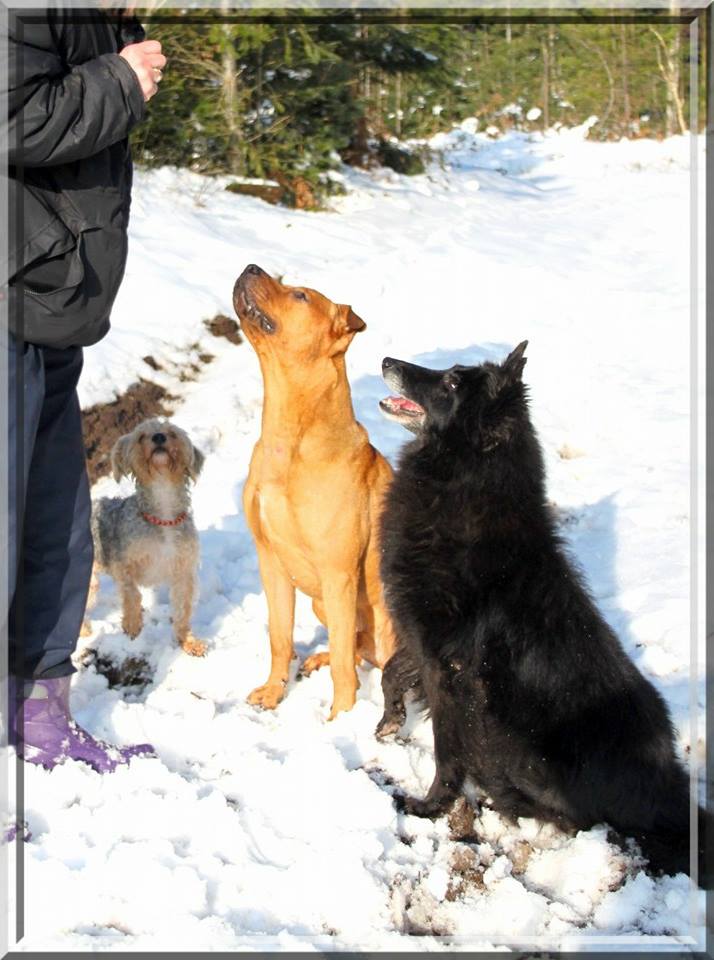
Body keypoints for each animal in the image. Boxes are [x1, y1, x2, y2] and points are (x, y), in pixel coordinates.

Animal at [86, 418, 207, 657]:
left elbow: (183, 609)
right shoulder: (123, 565)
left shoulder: (184, 571)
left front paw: (188, 641)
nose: (159, 437)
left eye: (172, 433)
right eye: (141, 436)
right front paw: (132, 627)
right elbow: (132, 595)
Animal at [233, 264, 396, 719]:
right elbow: (279, 635)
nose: (250, 267)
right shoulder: (270, 561)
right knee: (356, 648)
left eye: (301, 295)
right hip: (321, 602)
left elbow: (343, 665)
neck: (290, 436)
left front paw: (341, 718)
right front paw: (273, 692)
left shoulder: (338, 572)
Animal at [375, 342, 709, 883]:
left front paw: (428, 807)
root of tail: (675, 804)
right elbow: (391, 670)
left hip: (531, 751)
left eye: (450, 383)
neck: (463, 485)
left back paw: (505, 798)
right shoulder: (421, 639)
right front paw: (390, 720)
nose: (386, 361)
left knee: (573, 816)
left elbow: (448, 749)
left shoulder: (453, 671)